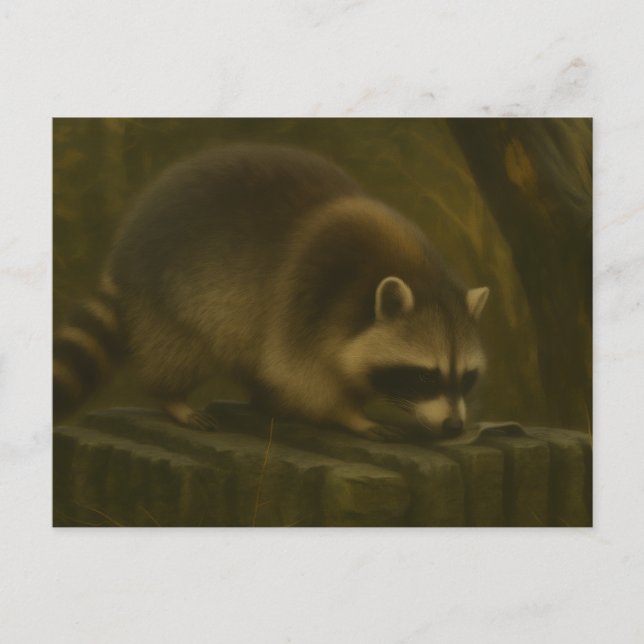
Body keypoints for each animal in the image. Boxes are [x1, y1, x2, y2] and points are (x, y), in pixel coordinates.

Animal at [53, 144, 489, 441]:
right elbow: (298, 374)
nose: (454, 426)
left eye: (466, 378)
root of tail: (124, 249)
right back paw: (172, 397)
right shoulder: (309, 294)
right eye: (425, 377)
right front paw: (350, 414)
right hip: (173, 292)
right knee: (181, 349)